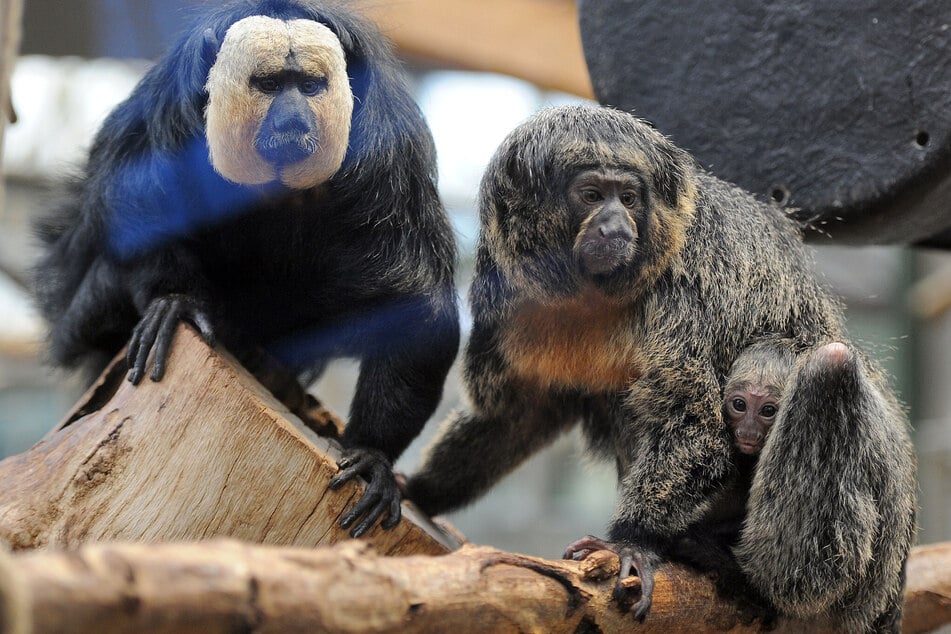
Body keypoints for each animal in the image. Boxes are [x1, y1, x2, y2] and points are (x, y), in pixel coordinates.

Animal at [30, 0, 462, 536]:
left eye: (310, 85)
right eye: (270, 84)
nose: (294, 117)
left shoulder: (391, 153)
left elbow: (414, 307)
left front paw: (372, 455)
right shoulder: (166, 114)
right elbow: (139, 212)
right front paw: (175, 302)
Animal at [406, 106, 920, 628]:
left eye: (629, 198)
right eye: (592, 195)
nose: (615, 223)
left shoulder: (690, 280)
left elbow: (695, 425)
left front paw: (629, 541)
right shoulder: (506, 292)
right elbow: (515, 414)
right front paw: (417, 490)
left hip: (869, 556)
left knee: (828, 366)